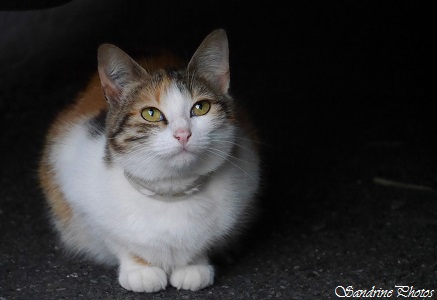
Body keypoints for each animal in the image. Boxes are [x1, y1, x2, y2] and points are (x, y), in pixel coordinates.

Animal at [38, 28, 258, 292]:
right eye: (150, 113)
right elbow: (118, 241)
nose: (183, 133)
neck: (171, 193)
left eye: (201, 107)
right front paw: (140, 270)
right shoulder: (74, 180)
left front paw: (194, 265)